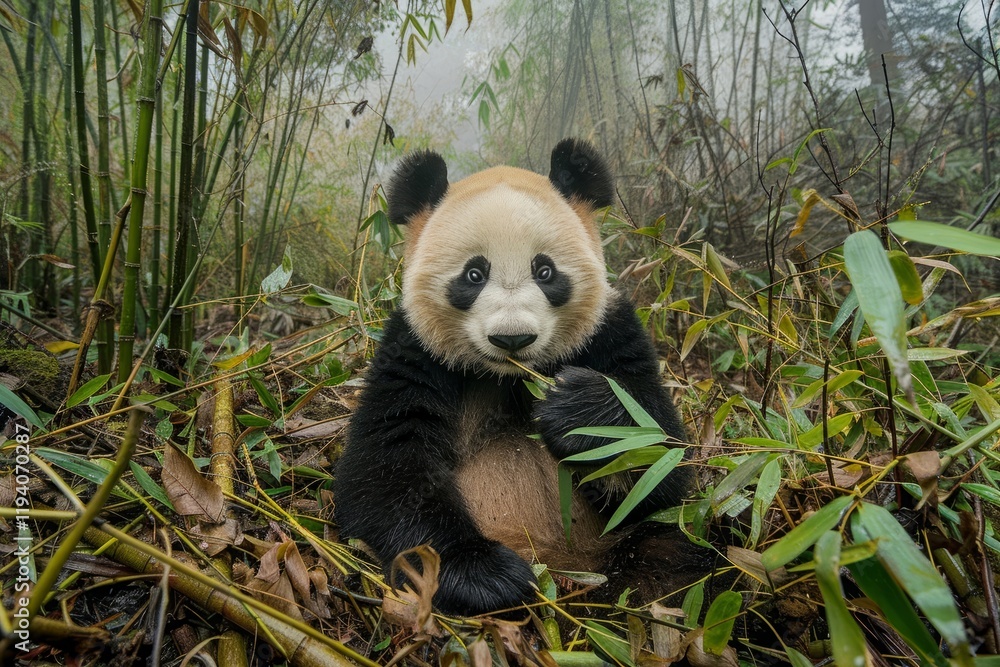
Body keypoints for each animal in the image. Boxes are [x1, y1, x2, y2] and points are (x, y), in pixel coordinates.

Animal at [334, 139, 703, 616]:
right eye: (474, 274)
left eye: (545, 271)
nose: (513, 338)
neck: (507, 376)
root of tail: (567, 573)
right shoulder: (413, 351)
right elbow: (385, 467)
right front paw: (483, 575)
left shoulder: (610, 331)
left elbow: (660, 461)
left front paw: (577, 410)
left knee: (675, 558)